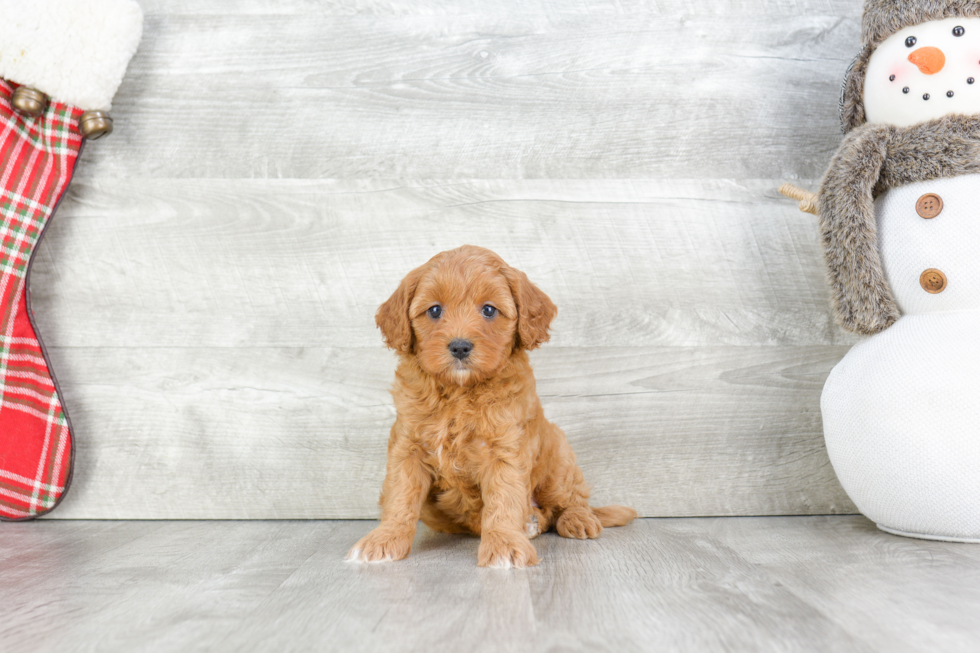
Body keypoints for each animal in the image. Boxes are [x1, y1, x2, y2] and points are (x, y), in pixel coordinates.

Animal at [348, 244, 640, 564]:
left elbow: (503, 498)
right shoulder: (407, 447)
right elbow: (400, 496)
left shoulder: (505, 449)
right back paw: (532, 522)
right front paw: (384, 539)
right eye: (434, 310)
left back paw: (578, 519)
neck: (460, 392)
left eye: (489, 310)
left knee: (570, 499)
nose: (460, 346)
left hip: (559, 457)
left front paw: (503, 545)